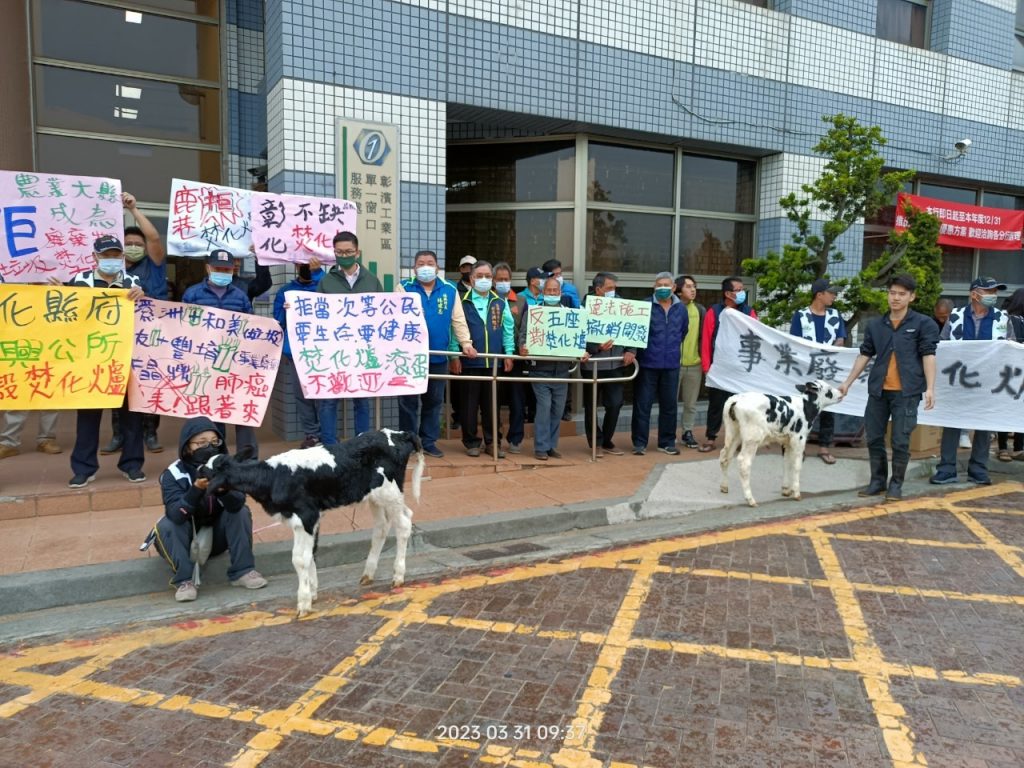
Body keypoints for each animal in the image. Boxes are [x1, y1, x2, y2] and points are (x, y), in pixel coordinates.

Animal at [202, 428, 425, 616]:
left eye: (210, 470)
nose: (197, 470)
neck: (273, 477)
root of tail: (399, 433)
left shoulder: (306, 516)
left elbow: (300, 558)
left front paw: (303, 602)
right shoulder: (309, 518)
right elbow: (311, 554)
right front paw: (313, 592)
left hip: (390, 492)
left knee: (404, 523)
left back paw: (398, 576)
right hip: (375, 497)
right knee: (382, 527)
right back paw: (368, 574)